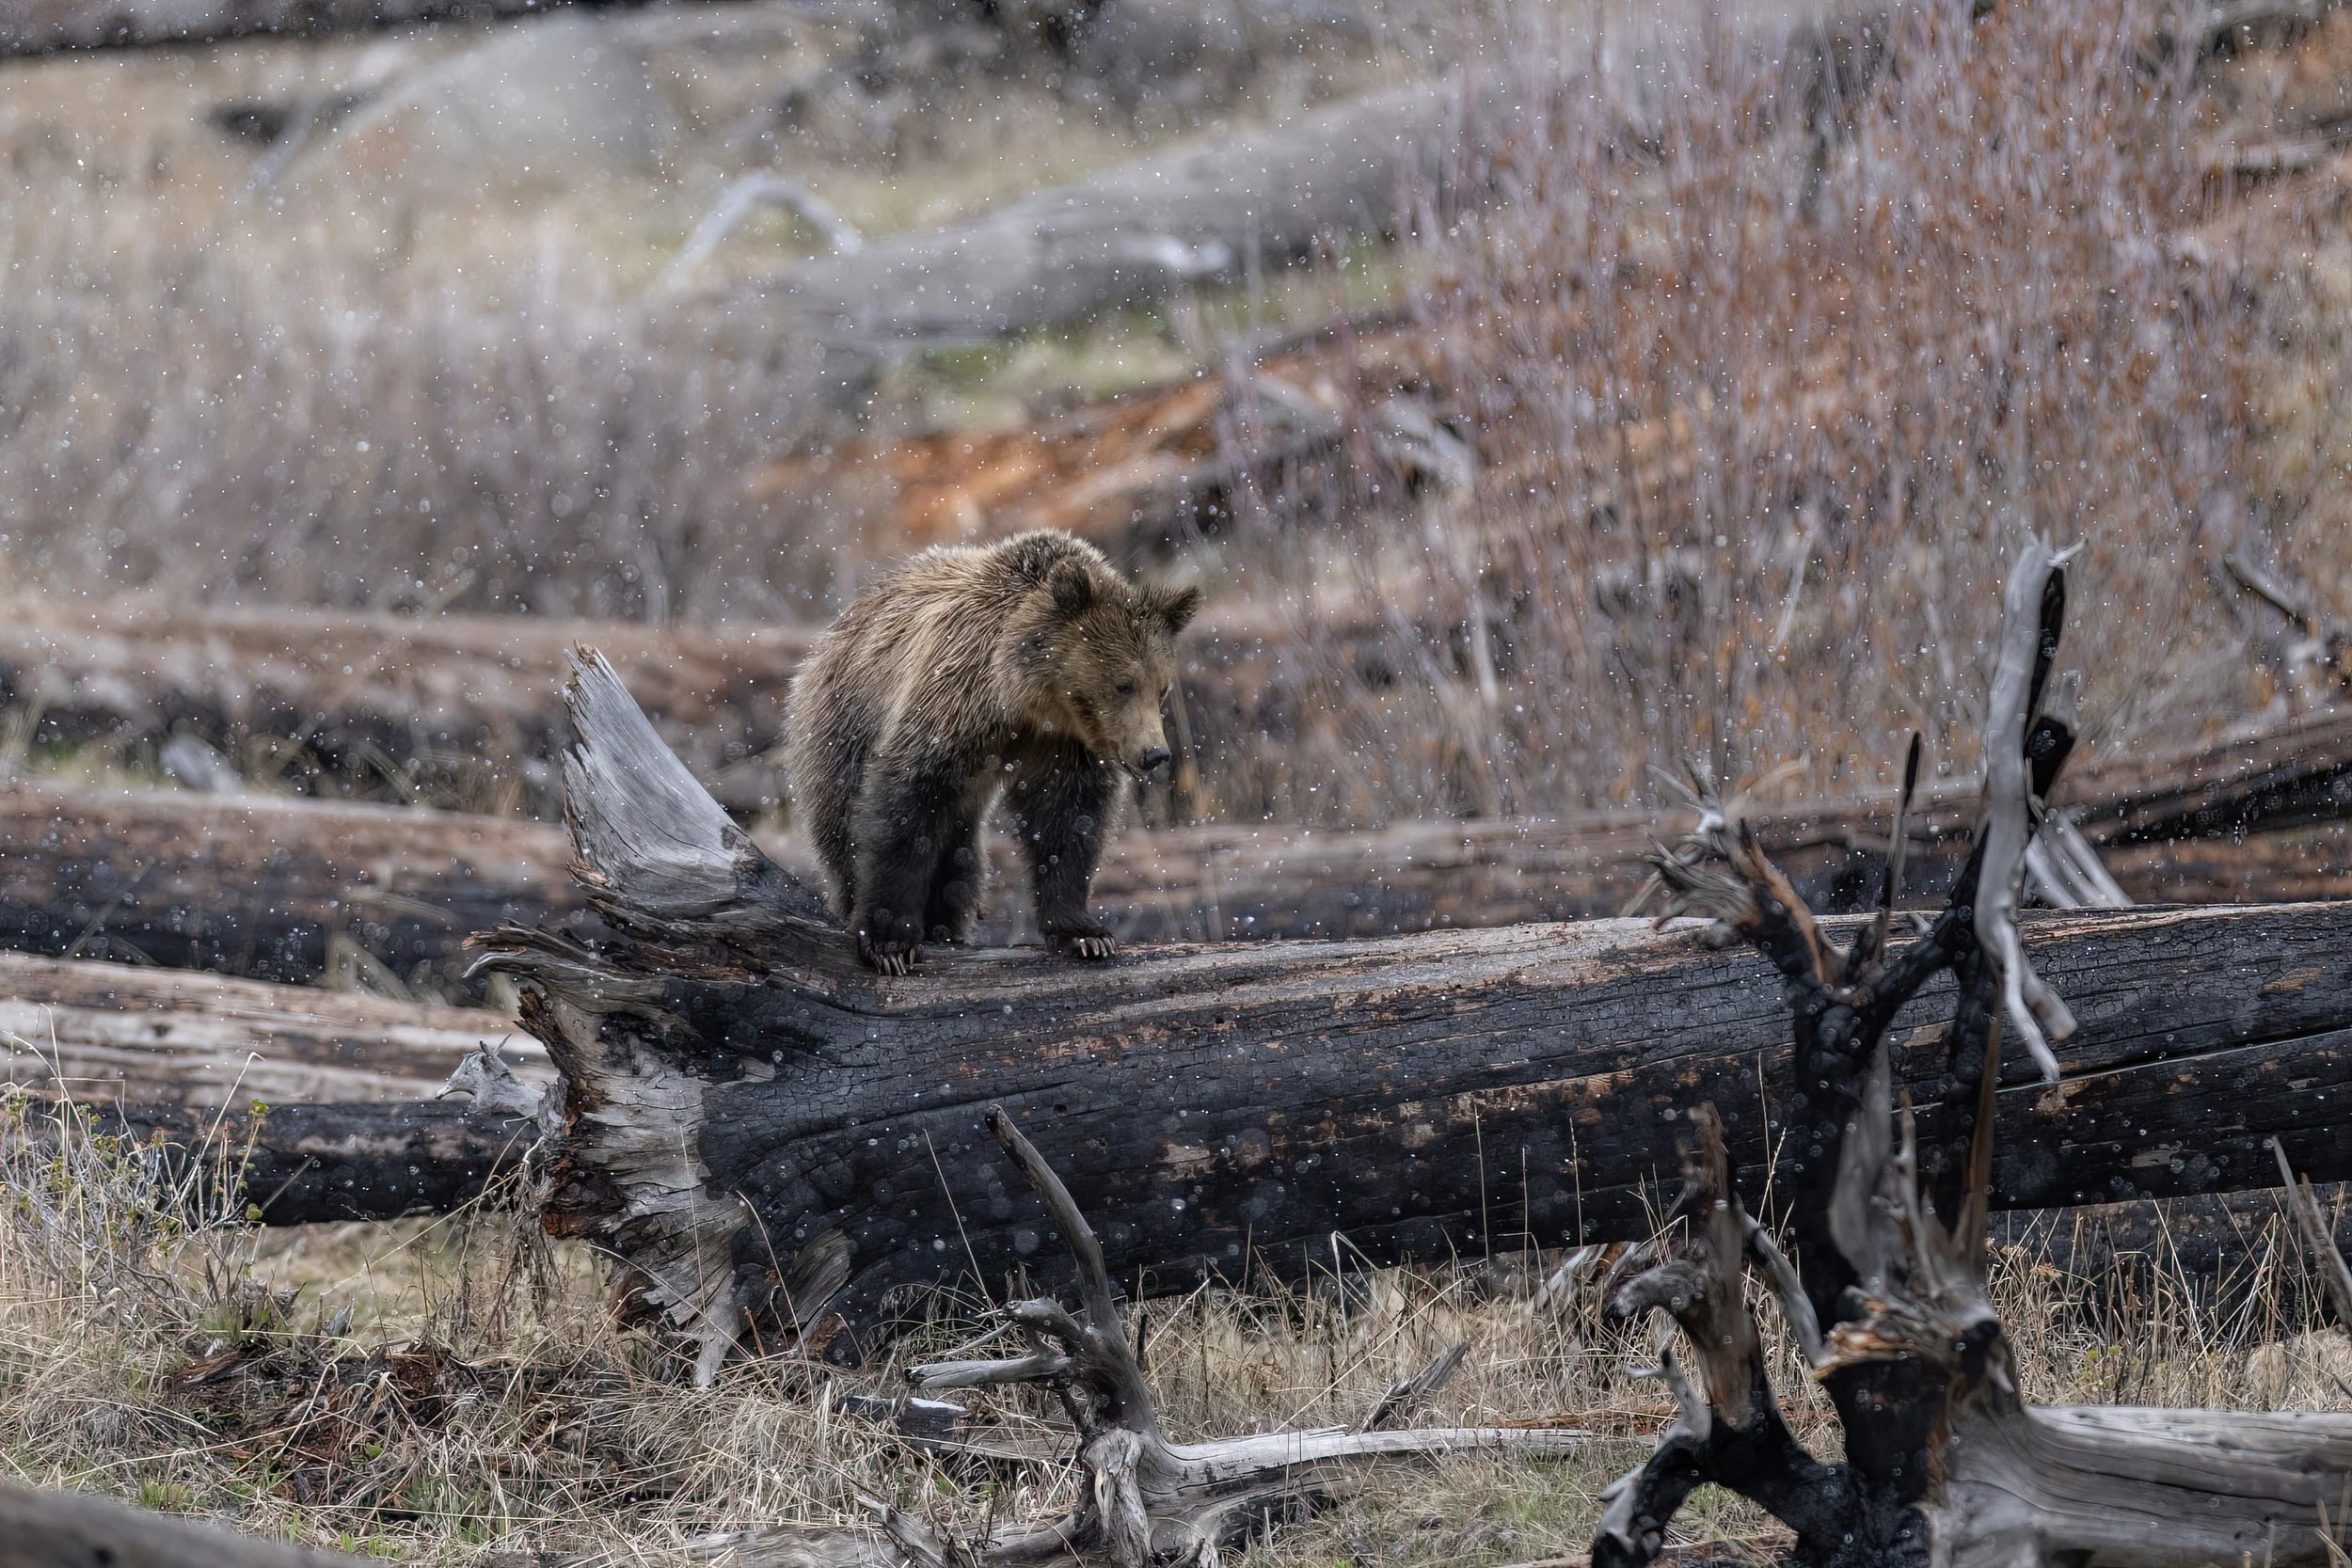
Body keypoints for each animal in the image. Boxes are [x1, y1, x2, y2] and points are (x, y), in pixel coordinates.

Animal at [783, 529, 1201, 975]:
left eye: (1161, 688)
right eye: (1123, 684)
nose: (1154, 754)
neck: (1026, 698)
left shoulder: (1062, 745)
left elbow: (1069, 821)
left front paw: (1086, 934)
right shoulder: (954, 701)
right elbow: (904, 806)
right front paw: (889, 942)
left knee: (962, 859)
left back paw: (947, 927)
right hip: (839, 722)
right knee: (842, 822)